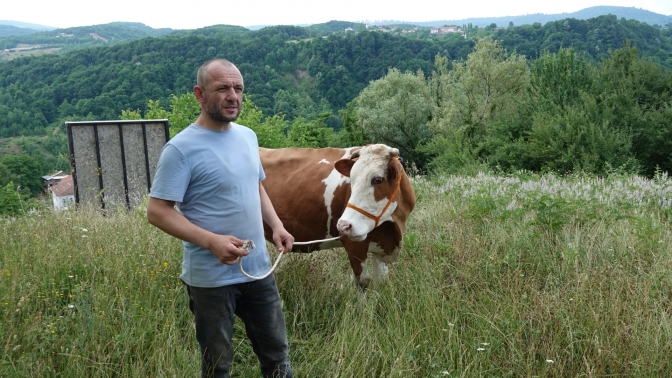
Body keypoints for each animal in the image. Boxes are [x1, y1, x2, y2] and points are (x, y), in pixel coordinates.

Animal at [262, 143, 414, 288]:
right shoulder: (353, 244)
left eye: (377, 179)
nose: (343, 226)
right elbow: (363, 281)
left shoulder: (382, 244)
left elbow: (381, 279)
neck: (393, 226)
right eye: (351, 178)